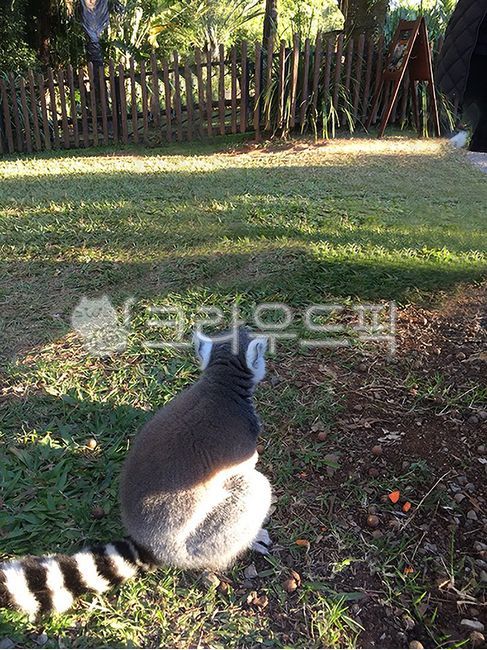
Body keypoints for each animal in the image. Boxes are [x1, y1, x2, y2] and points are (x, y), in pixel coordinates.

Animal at [0, 327, 272, 619]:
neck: (220, 384)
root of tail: (148, 543)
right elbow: (243, 469)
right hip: (198, 543)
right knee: (253, 488)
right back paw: (251, 539)